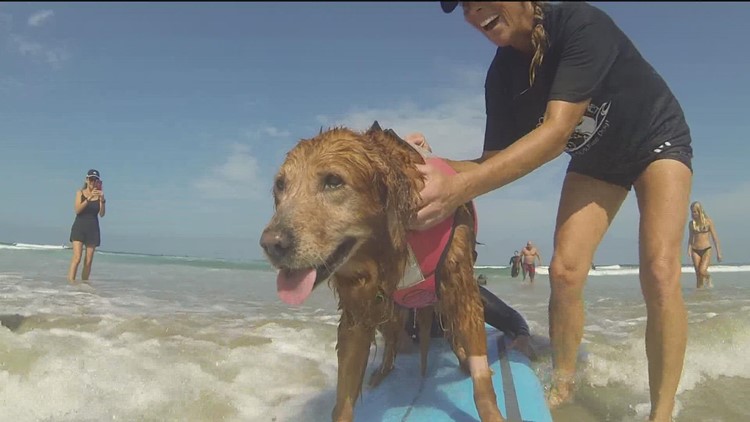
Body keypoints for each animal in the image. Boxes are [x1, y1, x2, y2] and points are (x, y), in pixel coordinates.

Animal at [260, 122, 506, 422]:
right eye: (280, 185)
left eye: (333, 180)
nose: (271, 244)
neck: (388, 247)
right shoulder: (356, 312)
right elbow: (344, 397)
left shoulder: (461, 288)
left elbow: (482, 383)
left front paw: (490, 408)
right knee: (392, 339)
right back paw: (382, 372)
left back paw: (461, 358)